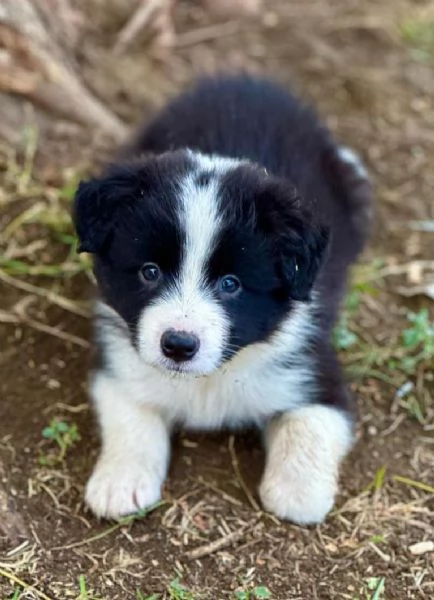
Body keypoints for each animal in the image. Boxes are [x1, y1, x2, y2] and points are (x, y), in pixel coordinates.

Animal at [73, 75, 372, 524]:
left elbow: (312, 422)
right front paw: (120, 482)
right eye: (149, 272)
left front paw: (297, 492)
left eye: (231, 284)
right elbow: (131, 414)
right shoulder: (120, 360)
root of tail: (246, 81)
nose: (178, 345)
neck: (208, 379)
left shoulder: (313, 367)